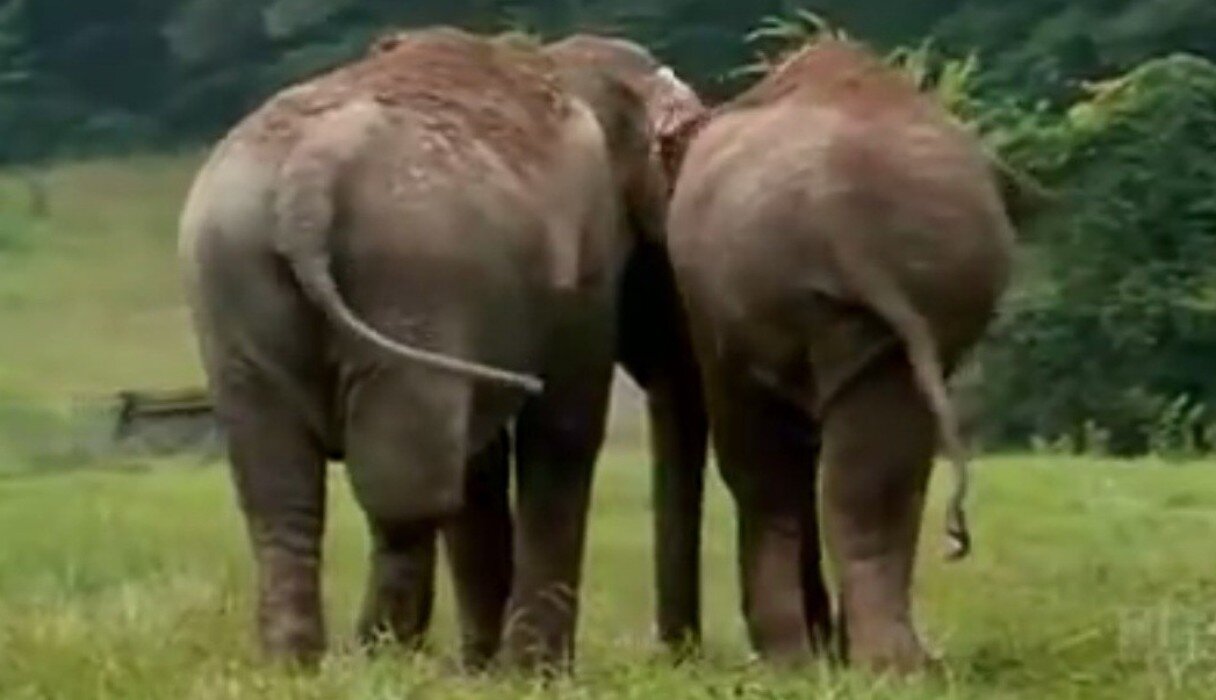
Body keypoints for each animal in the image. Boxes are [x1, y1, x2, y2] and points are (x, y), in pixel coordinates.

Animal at [177, 27, 702, 669]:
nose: (676, 657)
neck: (566, 62)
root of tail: (309, 178)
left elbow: (483, 463)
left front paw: (489, 670)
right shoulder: (586, 262)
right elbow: (563, 431)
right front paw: (533, 674)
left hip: (235, 279)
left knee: (281, 491)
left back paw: (298, 665)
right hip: (412, 275)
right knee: (408, 492)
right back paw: (380, 656)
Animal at [663, 39, 1032, 673]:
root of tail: (849, 215)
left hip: (763, 287)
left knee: (763, 464)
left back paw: (796, 661)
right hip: (919, 292)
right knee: (880, 460)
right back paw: (895, 665)